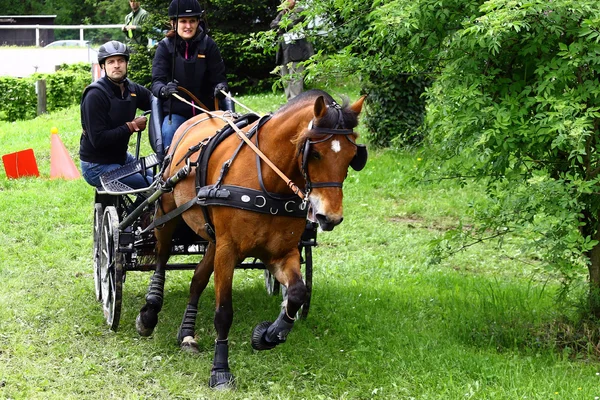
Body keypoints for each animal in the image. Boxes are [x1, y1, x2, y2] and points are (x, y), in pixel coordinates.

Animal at [137, 89, 366, 390]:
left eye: (352, 156)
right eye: (315, 152)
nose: (330, 217)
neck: (267, 181)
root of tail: (200, 115)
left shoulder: (281, 252)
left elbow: (297, 292)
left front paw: (270, 334)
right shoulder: (228, 251)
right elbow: (224, 313)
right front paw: (220, 370)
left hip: (213, 238)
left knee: (197, 279)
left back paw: (187, 334)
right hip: (166, 212)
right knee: (162, 259)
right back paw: (150, 312)